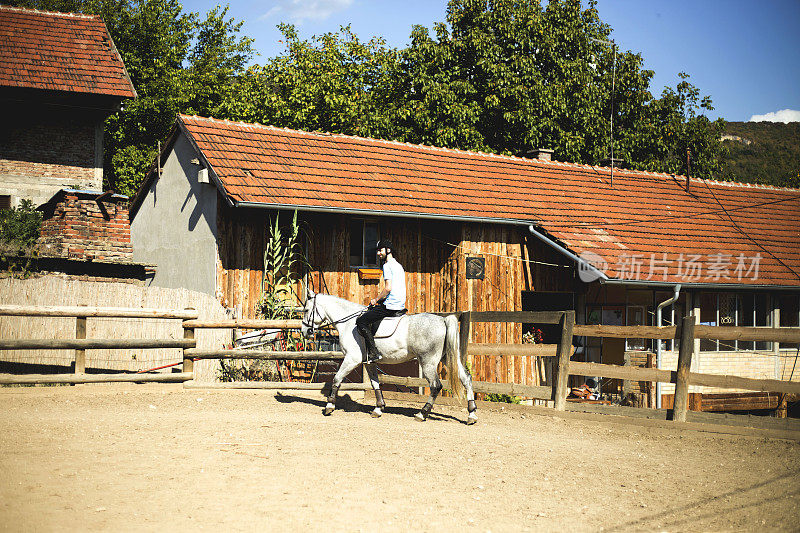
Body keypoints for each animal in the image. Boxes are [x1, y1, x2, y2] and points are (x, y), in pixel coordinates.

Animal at [300, 288, 476, 422]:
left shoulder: (352, 359)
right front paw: (378, 409)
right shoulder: (369, 362)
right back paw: (472, 414)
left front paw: (329, 406)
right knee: (466, 378)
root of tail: (443, 321)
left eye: (307, 310)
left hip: (428, 362)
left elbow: (337, 378)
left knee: (435, 385)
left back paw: (422, 413)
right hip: (447, 358)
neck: (349, 323)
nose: (305, 331)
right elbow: (375, 384)